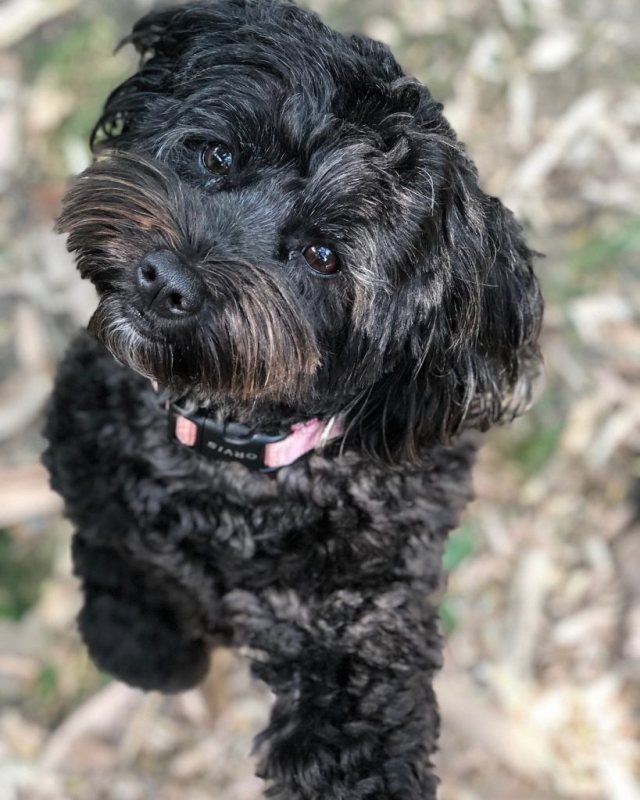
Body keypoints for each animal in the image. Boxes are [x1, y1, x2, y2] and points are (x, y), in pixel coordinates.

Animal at [45, 3, 544, 796]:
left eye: (323, 256)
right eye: (218, 157)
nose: (166, 279)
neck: (229, 460)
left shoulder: (367, 617)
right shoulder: (84, 452)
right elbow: (121, 554)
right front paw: (142, 647)